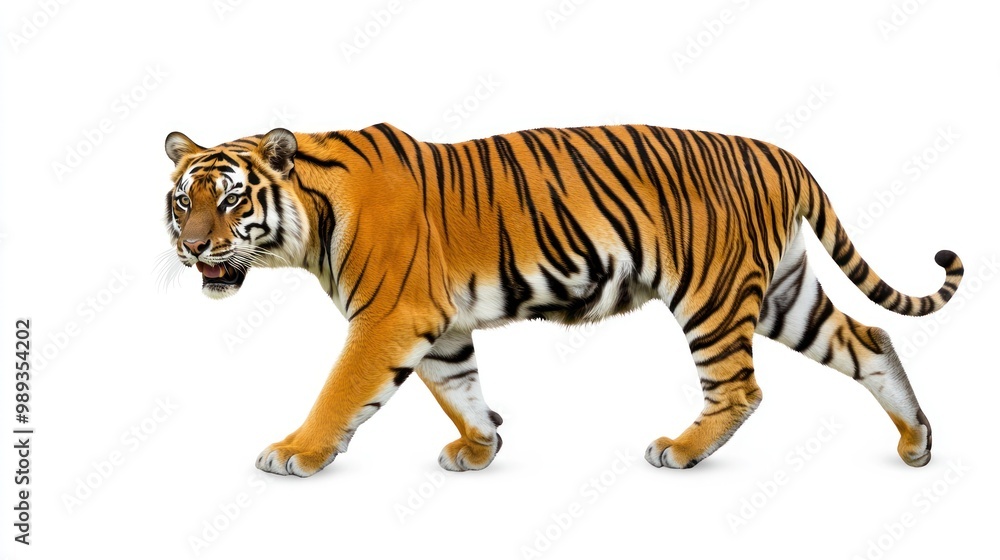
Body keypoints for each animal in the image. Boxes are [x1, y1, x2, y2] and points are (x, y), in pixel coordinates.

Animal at [163, 123, 963, 477]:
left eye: (231, 201)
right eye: (182, 202)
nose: (194, 248)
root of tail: (783, 153)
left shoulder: (389, 319)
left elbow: (341, 390)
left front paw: (295, 452)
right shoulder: (438, 325)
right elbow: (458, 387)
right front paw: (480, 446)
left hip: (712, 293)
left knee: (740, 389)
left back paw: (680, 451)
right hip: (780, 294)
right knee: (869, 340)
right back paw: (917, 441)